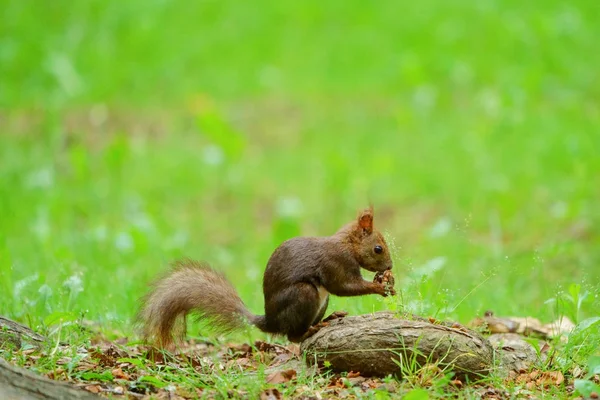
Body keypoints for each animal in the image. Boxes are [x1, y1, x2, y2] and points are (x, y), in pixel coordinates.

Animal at [138, 206, 396, 346]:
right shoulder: (336, 263)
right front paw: (379, 287)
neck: (348, 244)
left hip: (320, 301)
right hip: (304, 294)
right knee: (292, 336)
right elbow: (344, 286)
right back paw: (309, 331)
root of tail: (270, 321)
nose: (390, 265)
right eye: (378, 249)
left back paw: (328, 319)